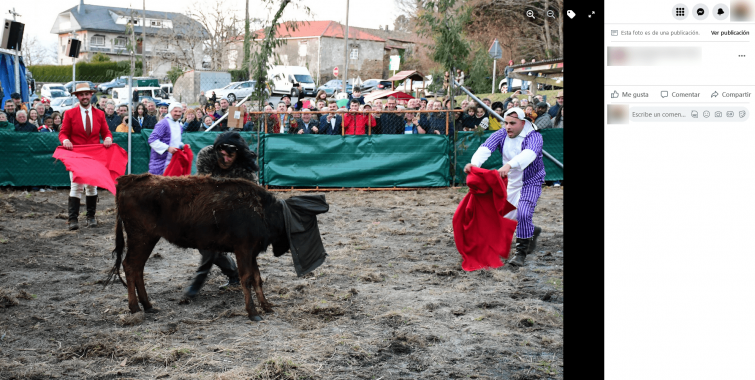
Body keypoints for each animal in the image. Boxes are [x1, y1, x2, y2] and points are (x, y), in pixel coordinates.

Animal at [108, 174, 290, 320]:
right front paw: (253, 313)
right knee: (130, 266)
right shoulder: (243, 250)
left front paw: (267, 307)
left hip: (147, 239)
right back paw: (135, 308)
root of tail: (127, 181)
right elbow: (247, 278)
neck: (260, 209)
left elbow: (257, 278)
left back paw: (148, 306)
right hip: (141, 238)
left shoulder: (251, 252)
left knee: (138, 268)